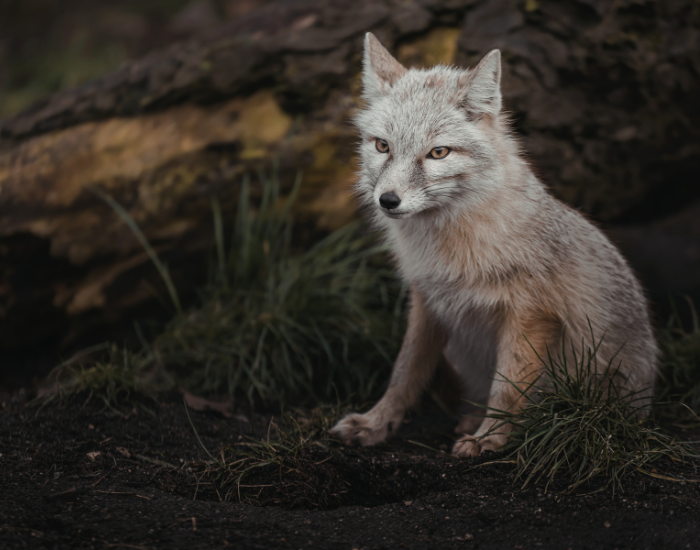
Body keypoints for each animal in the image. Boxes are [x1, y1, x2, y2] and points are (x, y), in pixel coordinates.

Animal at [330, 33, 658, 457]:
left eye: (438, 152)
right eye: (383, 146)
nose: (388, 201)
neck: (448, 247)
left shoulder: (530, 314)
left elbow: (509, 386)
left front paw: (491, 438)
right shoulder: (427, 302)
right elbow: (404, 373)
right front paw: (377, 423)